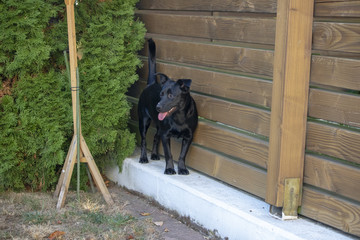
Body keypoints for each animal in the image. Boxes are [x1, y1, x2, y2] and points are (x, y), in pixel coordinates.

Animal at [138, 39, 198, 174]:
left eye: (171, 95)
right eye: (161, 94)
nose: (157, 107)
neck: (179, 116)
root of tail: (151, 83)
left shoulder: (189, 136)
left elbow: (182, 155)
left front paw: (182, 169)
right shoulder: (166, 135)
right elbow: (168, 154)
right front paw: (170, 169)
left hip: (159, 126)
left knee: (155, 137)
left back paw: (154, 155)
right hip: (143, 121)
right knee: (143, 140)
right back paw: (143, 158)